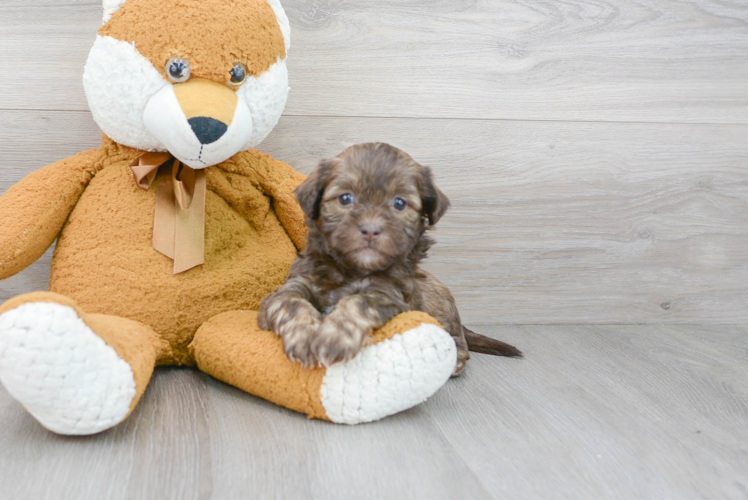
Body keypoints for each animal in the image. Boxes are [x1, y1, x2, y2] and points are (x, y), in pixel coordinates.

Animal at [258, 142, 520, 376]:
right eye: (345, 198)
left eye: (399, 203)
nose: (371, 230)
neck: (352, 270)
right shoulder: (292, 285)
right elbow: (293, 304)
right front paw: (304, 338)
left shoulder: (389, 296)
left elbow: (356, 302)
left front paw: (333, 339)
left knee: (458, 341)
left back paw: (454, 362)